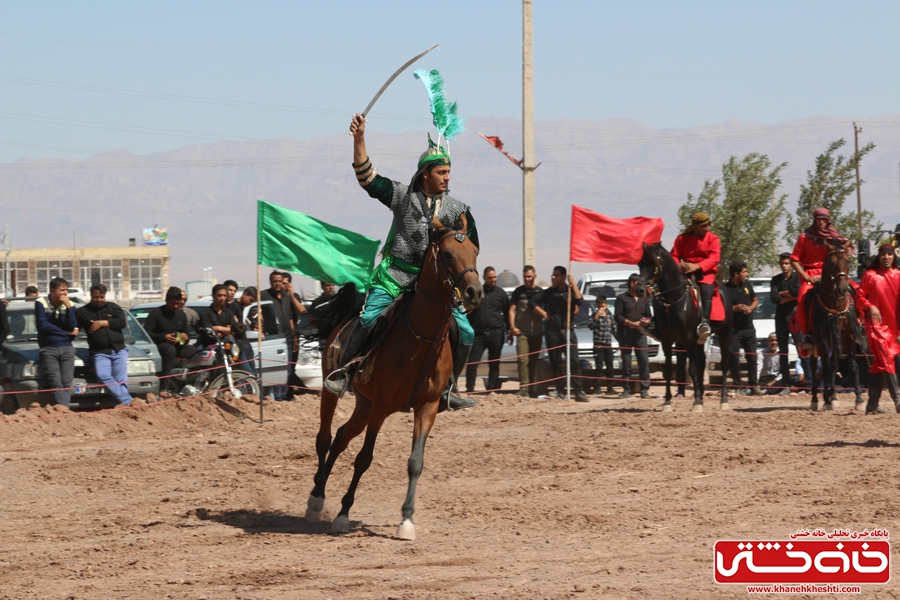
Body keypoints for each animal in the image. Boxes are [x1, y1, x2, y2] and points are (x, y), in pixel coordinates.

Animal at [304, 214, 486, 540]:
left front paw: (407, 520)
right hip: (334, 392)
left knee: (340, 438)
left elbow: (416, 462)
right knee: (324, 439)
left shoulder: (426, 408)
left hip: (363, 404)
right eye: (448, 254)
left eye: (474, 252)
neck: (422, 338)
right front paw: (343, 514)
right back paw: (315, 499)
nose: (474, 293)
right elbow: (364, 459)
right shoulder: (381, 407)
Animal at [808, 241, 864, 410]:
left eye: (848, 261)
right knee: (814, 365)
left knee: (832, 365)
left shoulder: (848, 335)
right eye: (831, 262)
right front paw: (827, 400)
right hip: (814, 341)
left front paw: (859, 400)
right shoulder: (823, 338)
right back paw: (816, 399)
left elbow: (852, 365)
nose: (842, 288)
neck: (836, 304)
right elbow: (826, 368)